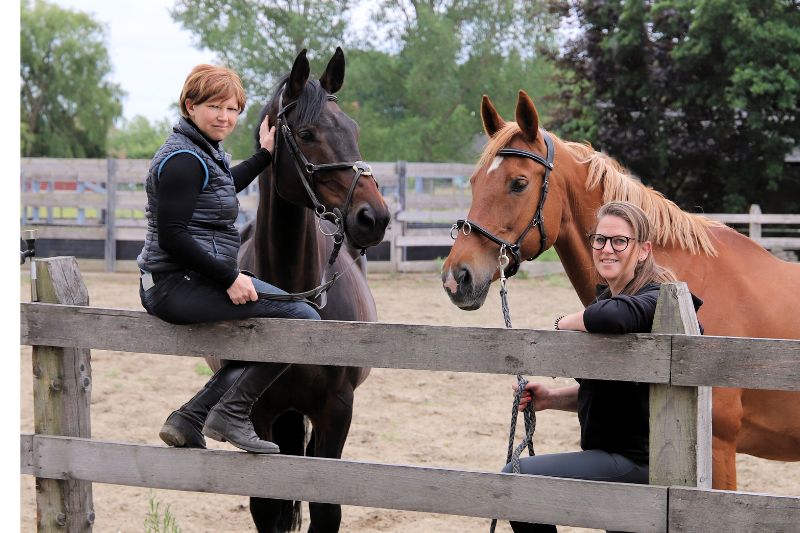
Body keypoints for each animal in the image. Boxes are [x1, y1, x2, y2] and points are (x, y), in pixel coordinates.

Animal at [216, 47, 390, 532]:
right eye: (308, 134)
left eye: (354, 129)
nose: (374, 217)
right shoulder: (258, 412)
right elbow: (267, 506)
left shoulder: (337, 409)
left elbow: (325, 508)